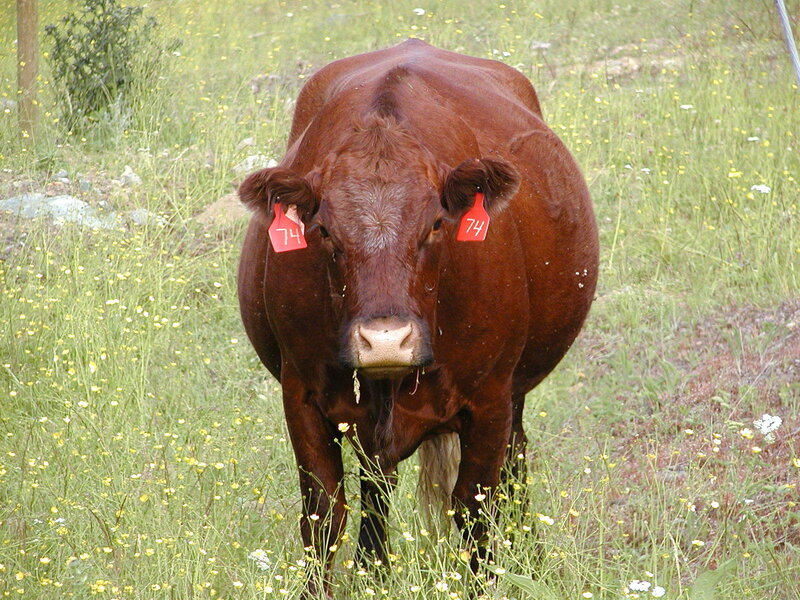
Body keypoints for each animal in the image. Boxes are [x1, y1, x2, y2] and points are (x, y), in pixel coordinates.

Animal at [238, 39, 598, 596]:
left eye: (434, 224)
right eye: (324, 231)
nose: (385, 341)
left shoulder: (490, 399)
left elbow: (475, 511)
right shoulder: (301, 394)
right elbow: (323, 514)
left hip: (514, 393)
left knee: (513, 471)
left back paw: (531, 563)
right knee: (377, 489)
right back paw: (375, 572)